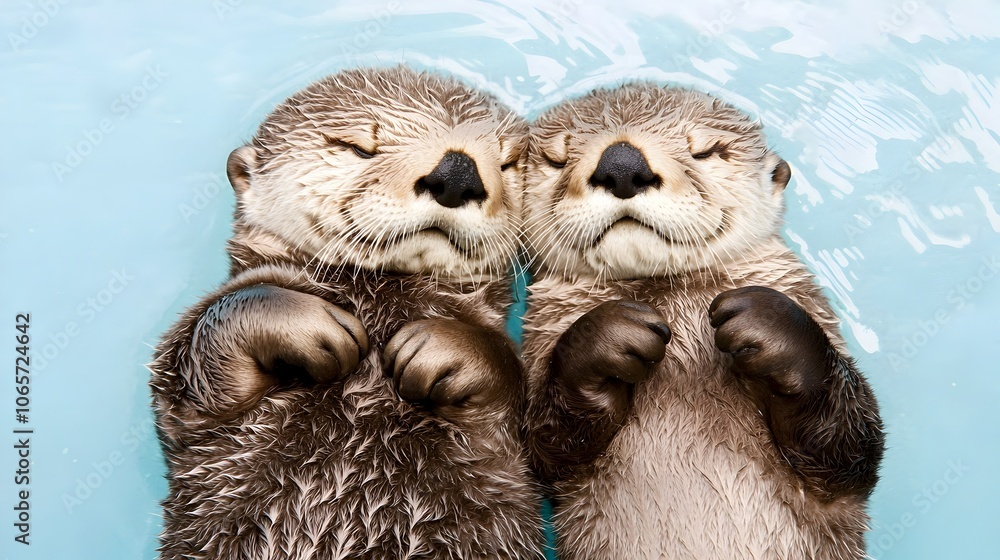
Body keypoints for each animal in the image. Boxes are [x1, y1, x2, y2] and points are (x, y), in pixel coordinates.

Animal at [148, 66, 542, 559]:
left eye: (507, 163)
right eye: (355, 146)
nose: (457, 173)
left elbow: (519, 387)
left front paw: (443, 348)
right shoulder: (181, 403)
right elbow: (198, 349)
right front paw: (310, 327)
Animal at [520, 84, 884, 559]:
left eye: (707, 150)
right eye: (557, 158)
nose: (622, 165)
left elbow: (852, 450)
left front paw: (773, 329)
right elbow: (544, 448)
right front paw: (603, 340)